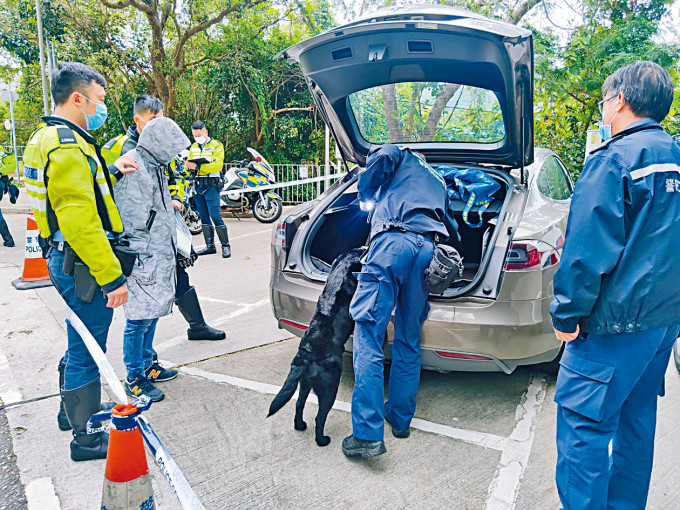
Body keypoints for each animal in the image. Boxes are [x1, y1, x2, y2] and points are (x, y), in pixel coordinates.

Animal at [266, 248, 366, 446]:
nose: (366, 248)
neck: (340, 275)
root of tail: (305, 355)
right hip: (329, 387)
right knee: (320, 417)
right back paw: (322, 440)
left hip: (305, 384)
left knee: (299, 404)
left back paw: (300, 426)